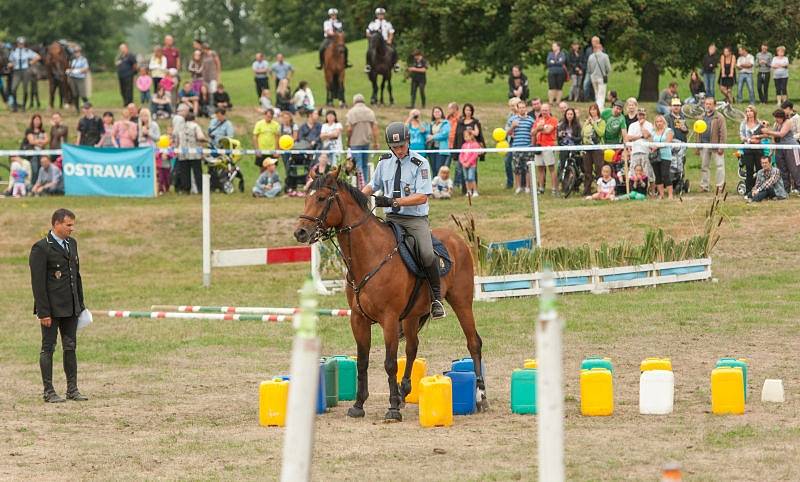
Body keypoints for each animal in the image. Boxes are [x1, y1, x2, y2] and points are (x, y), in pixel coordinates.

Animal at [296, 169, 488, 422]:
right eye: (305, 198)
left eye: (320, 199)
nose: (300, 232)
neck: (371, 255)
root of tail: (457, 239)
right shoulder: (358, 319)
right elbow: (363, 361)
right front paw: (359, 405)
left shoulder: (388, 318)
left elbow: (389, 363)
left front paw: (393, 408)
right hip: (411, 316)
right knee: (412, 348)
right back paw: (403, 391)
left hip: (461, 303)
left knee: (473, 342)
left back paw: (481, 395)